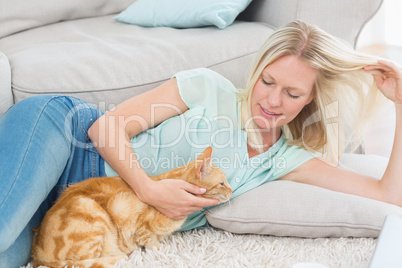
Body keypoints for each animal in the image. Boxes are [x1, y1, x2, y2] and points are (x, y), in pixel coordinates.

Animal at [31, 148, 231, 266]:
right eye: (222, 183)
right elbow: (152, 242)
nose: (231, 190)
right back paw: (121, 256)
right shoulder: (137, 224)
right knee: (81, 263)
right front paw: (164, 249)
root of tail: (37, 249)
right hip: (90, 210)